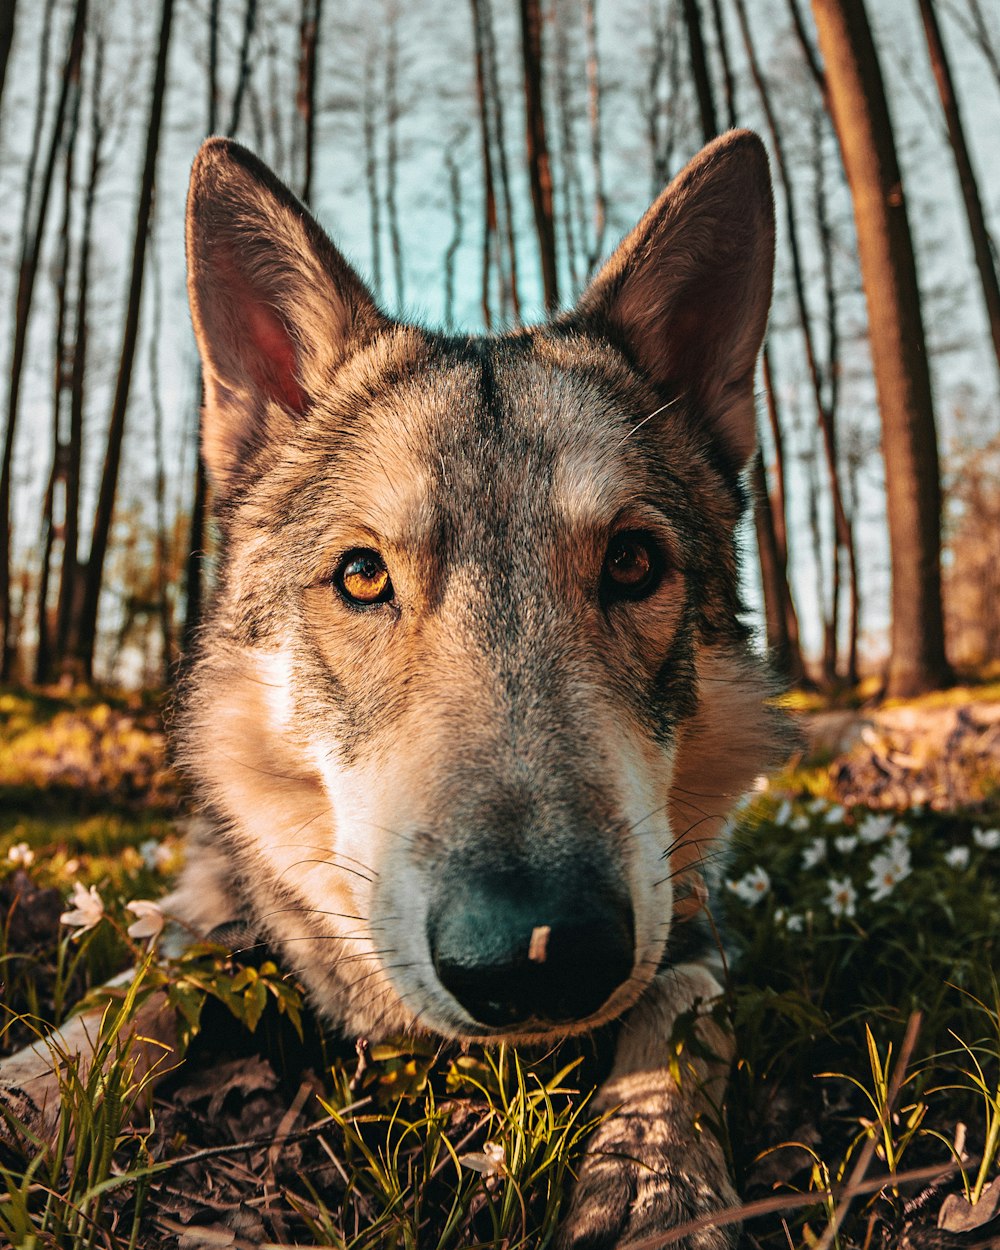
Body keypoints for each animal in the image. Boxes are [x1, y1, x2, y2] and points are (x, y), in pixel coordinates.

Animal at [5, 131, 790, 1245]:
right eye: (363, 576)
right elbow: (157, 973)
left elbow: (675, 1013)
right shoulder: (228, 898)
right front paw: (37, 1080)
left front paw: (653, 1180)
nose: (538, 952)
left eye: (633, 564)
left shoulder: (699, 909)